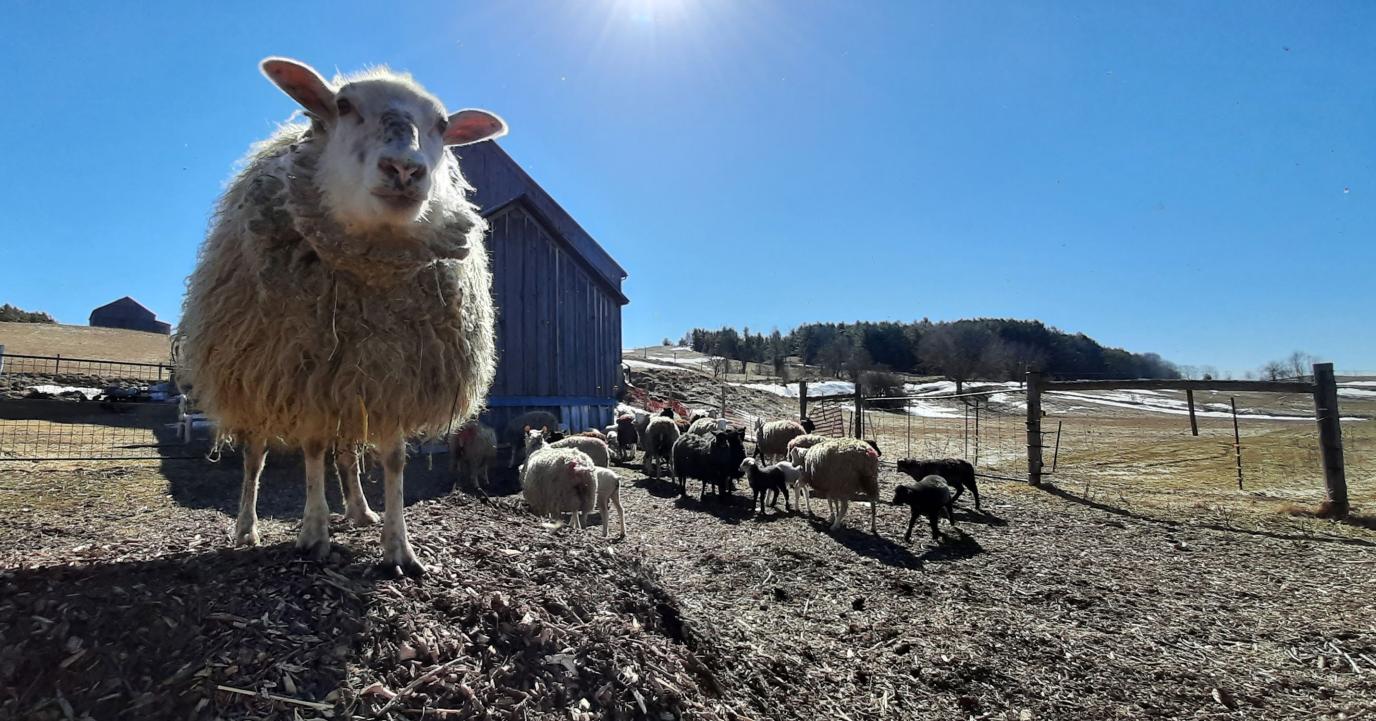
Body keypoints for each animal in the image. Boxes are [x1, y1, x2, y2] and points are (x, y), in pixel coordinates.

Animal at [175, 57, 507, 576]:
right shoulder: (303, 374)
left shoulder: (392, 378)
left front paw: (399, 548)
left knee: (347, 452)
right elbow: (311, 449)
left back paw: (359, 510)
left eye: (442, 125)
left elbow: (393, 461)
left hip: (351, 382)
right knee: (256, 459)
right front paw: (314, 534)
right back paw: (247, 527)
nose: (405, 168)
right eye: (344, 105)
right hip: (262, 378)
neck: (367, 273)